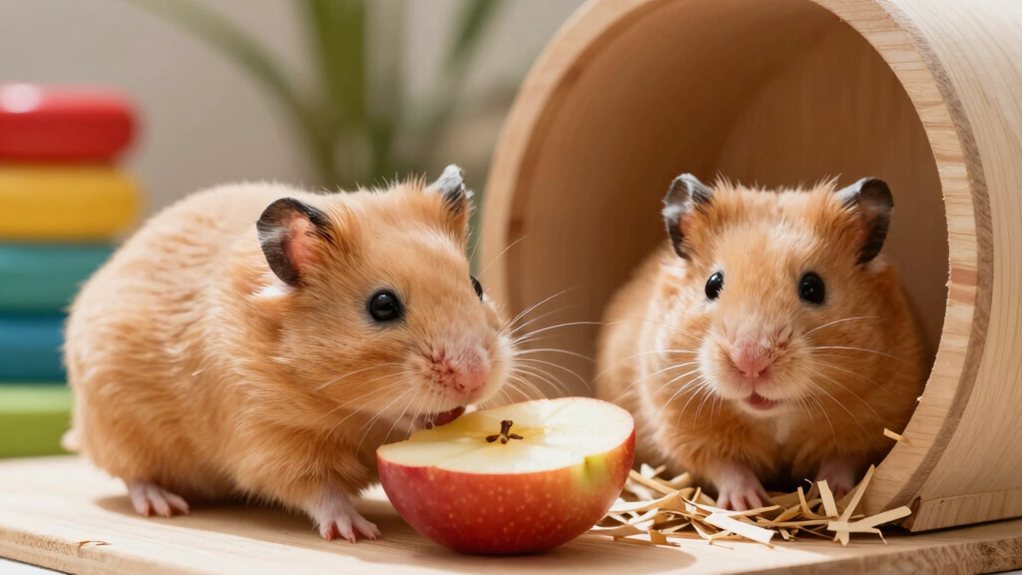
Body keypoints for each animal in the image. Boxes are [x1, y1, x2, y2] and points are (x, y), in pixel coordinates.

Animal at [64, 165, 513, 541]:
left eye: (476, 285)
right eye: (382, 306)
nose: (474, 379)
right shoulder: (272, 441)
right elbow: (318, 491)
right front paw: (357, 532)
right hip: (118, 429)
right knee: (133, 476)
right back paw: (164, 506)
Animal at [595, 174, 924, 510]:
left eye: (813, 287)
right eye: (712, 284)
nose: (750, 361)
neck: (774, 413)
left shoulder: (877, 418)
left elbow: (844, 459)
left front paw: (830, 496)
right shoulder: (679, 422)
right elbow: (725, 465)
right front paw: (749, 503)